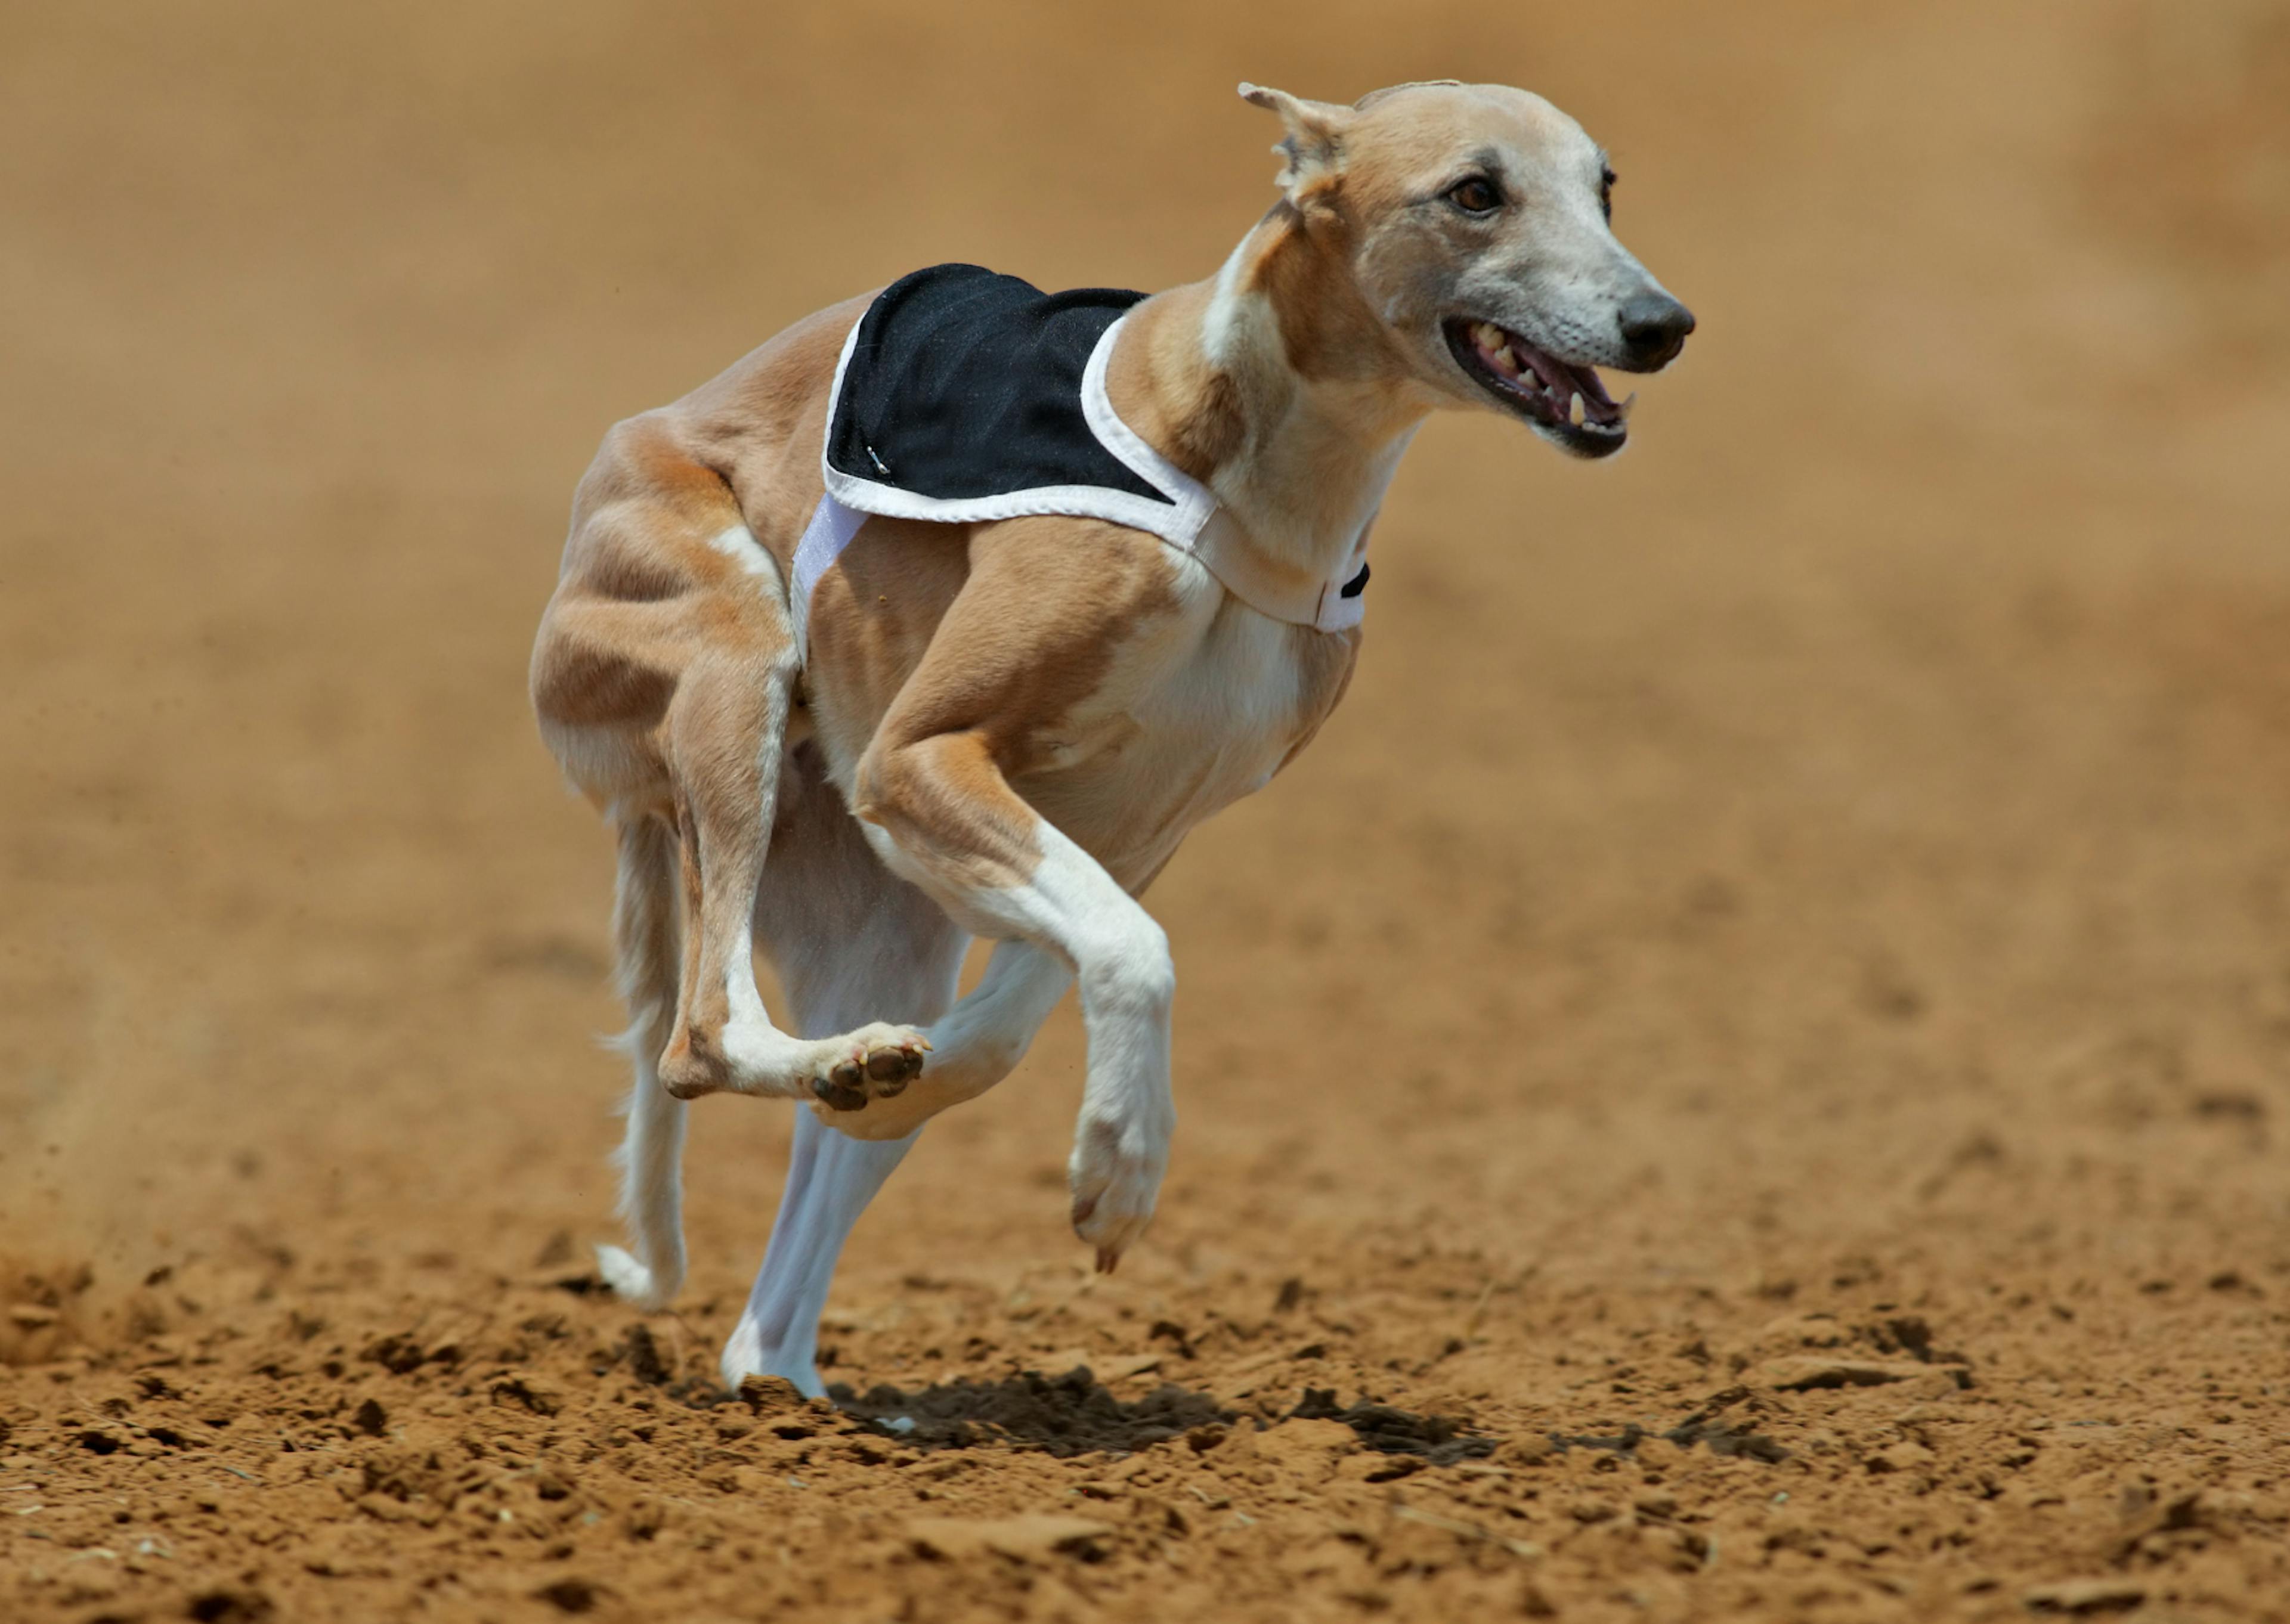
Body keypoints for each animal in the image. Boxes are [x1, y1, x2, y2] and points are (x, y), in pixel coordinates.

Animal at [531, 79, 1685, 1392]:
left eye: (1604, 186)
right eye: (1475, 192)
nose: (1663, 325)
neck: (1254, 488)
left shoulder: (1136, 831)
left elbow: (1022, 1015)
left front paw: (936, 1098)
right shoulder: (921, 757)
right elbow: (1135, 953)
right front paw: (1124, 1167)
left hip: (878, 910)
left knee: (783, 1261)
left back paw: (805, 1326)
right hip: (736, 670)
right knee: (700, 1039)